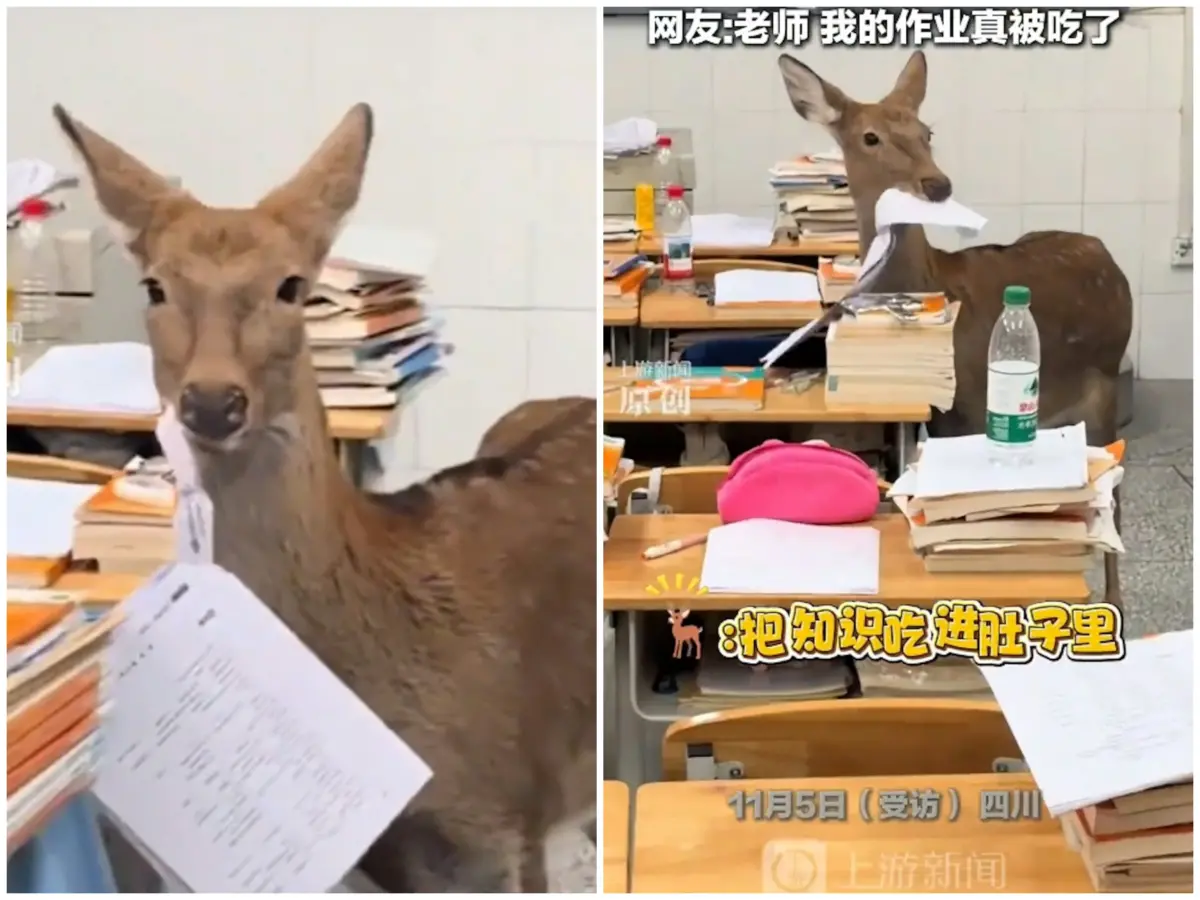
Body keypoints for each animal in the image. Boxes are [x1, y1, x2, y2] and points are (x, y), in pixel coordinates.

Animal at [777, 51, 1132, 608]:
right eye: (870, 136)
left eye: (927, 132)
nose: (936, 184)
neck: (932, 280)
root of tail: (1107, 255)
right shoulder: (943, 415)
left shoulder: (969, 403)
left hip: (1105, 383)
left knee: (1115, 488)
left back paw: (1114, 600)